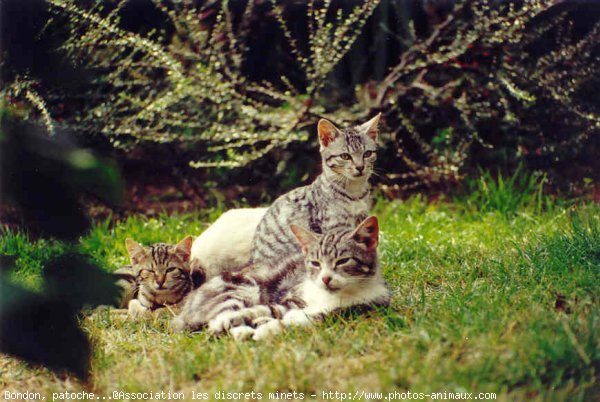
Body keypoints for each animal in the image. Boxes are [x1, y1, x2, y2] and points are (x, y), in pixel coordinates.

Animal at [171, 215, 392, 340]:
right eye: (315, 263)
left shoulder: (345, 312)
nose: (325, 279)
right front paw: (232, 320)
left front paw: (268, 329)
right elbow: (266, 309)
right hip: (243, 286)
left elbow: (294, 320)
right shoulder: (291, 298)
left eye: (343, 261)